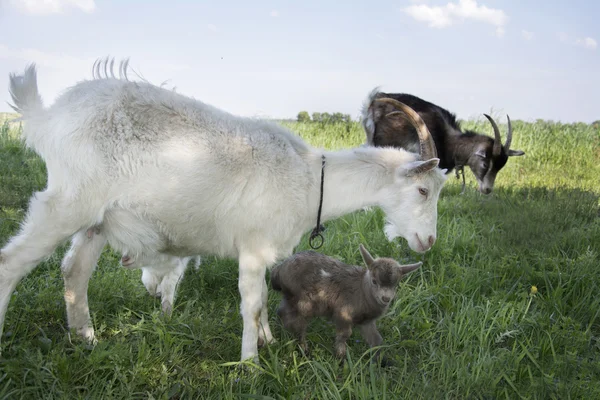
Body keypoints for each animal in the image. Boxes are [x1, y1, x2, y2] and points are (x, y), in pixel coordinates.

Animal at [1, 61, 446, 364]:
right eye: (423, 189)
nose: (428, 241)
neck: (309, 177)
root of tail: (51, 116)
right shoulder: (252, 246)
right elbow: (252, 302)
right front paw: (250, 363)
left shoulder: (264, 251)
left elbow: (265, 296)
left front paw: (268, 341)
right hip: (67, 200)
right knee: (11, 263)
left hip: (96, 219)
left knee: (74, 271)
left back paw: (87, 338)